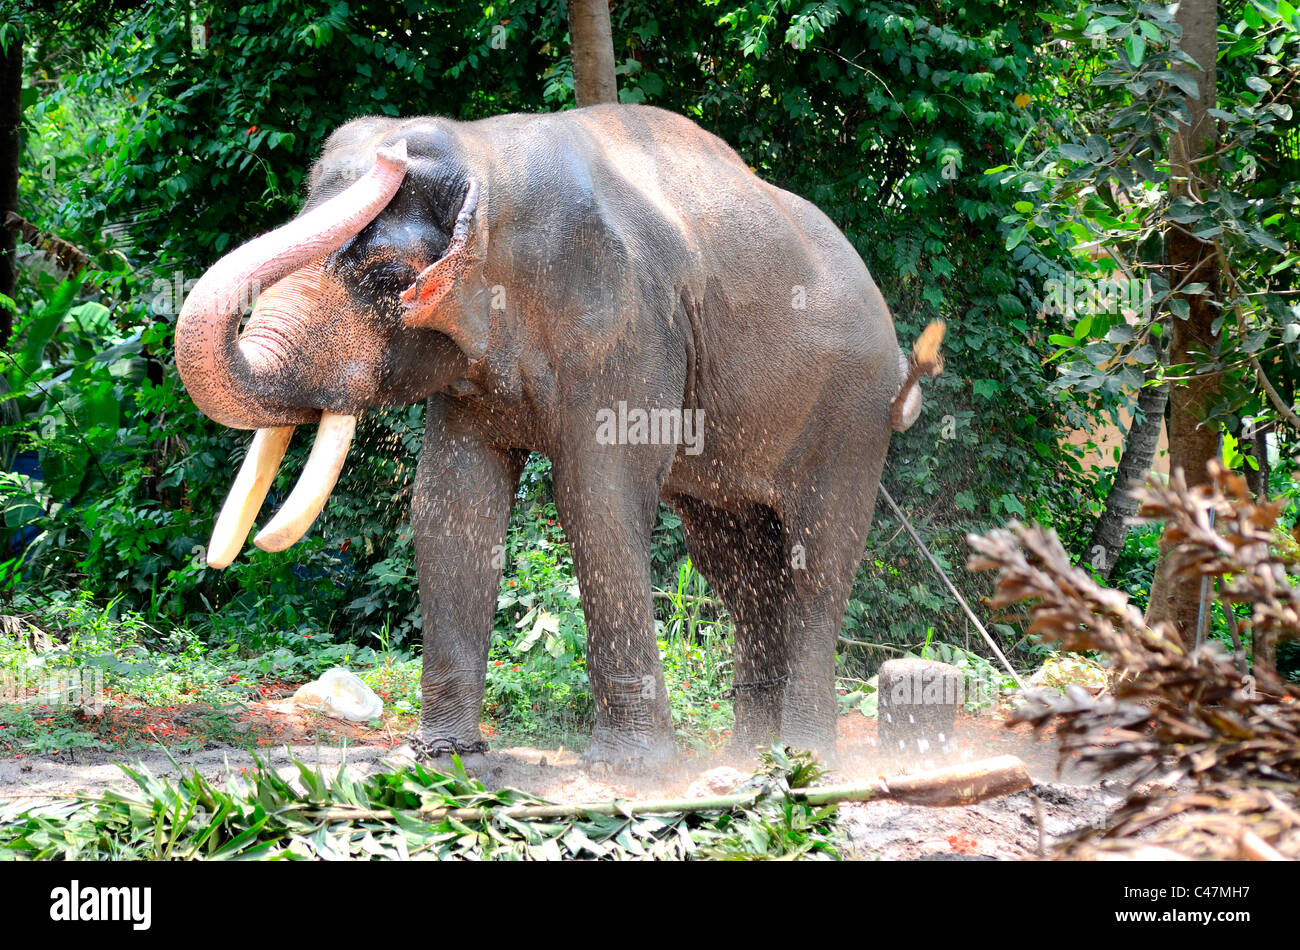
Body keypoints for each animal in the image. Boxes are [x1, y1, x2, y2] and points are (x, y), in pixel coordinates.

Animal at [176, 104, 942, 769]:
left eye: (389, 276)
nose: (394, 151)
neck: (489, 153)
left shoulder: (628, 326)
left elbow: (596, 500)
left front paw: (629, 770)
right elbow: (449, 504)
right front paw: (445, 756)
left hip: (850, 418)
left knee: (818, 557)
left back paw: (802, 757)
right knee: (735, 563)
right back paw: (747, 756)